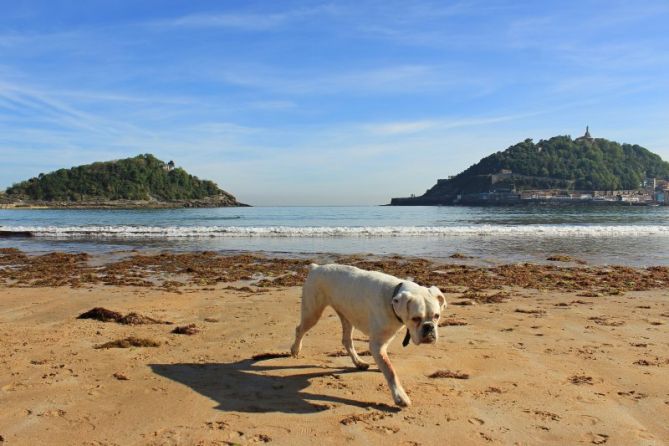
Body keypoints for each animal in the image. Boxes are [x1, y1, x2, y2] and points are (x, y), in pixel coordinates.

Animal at [290, 264, 446, 406]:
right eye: (415, 318)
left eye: (436, 316)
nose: (429, 327)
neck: (391, 298)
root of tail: (316, 267)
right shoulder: (376, 344)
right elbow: (390, 371)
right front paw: (400, 396)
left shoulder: (383, 341)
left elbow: (385, 363)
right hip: (312, 314)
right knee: (299, 329)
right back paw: (295, 349)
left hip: (347, 317)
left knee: (346, 340)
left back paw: (358, 362)